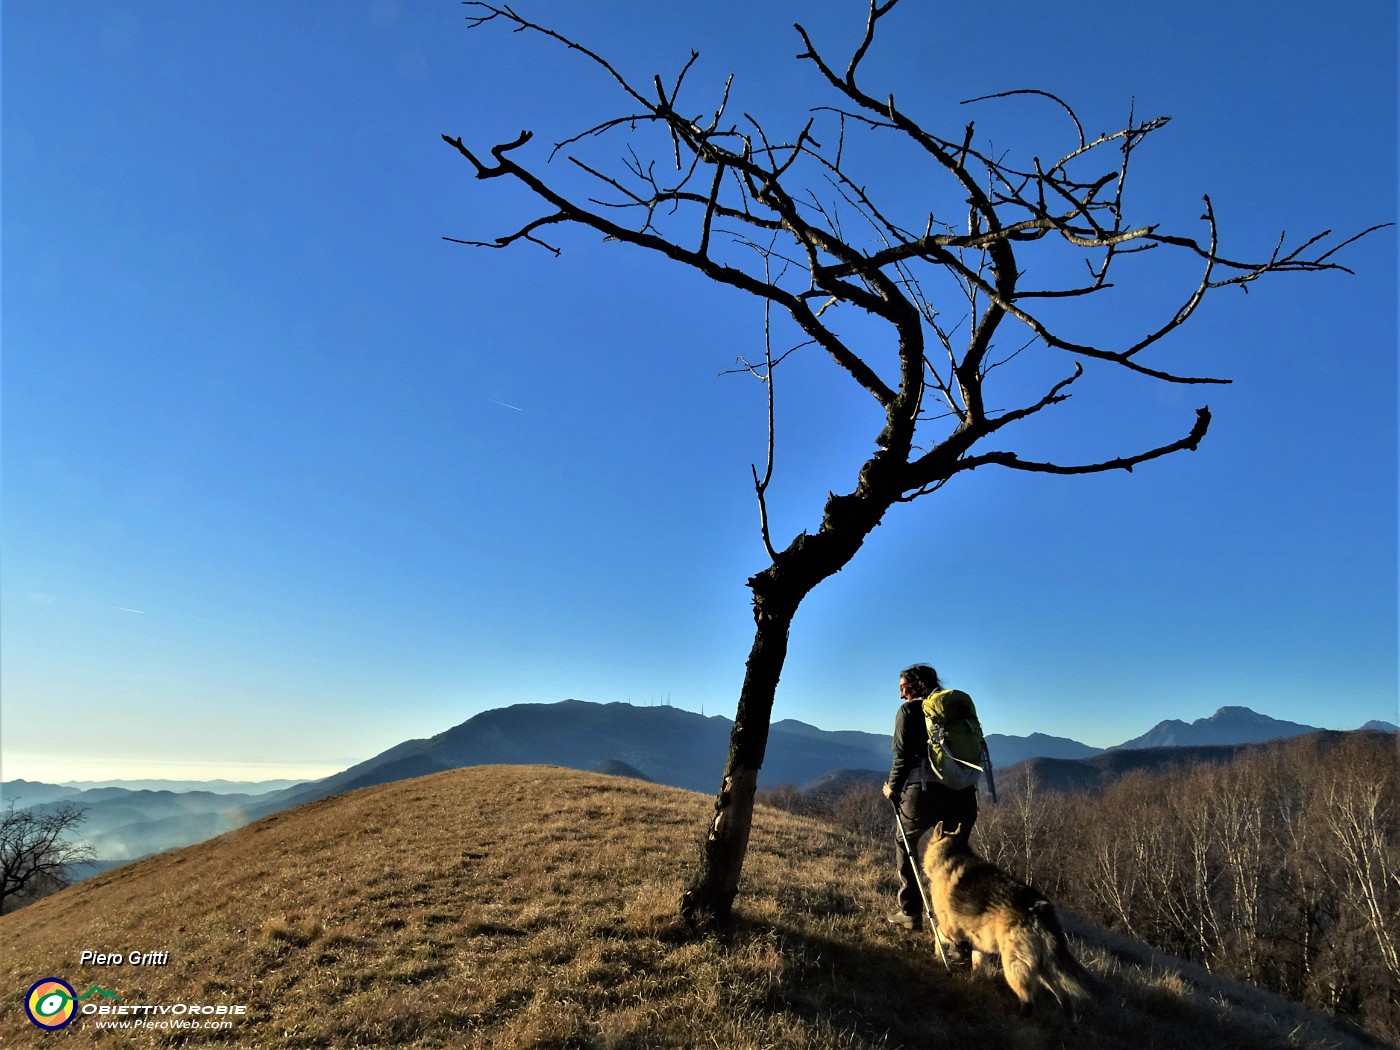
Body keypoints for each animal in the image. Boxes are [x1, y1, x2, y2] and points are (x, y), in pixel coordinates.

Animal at [924, 823, 1097, 1019]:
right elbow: (977, 962)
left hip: (1014, 965)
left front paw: (938, 956)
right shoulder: (980, 942)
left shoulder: (950, 929)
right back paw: (1070, 1020)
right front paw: (973, 980)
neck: (951, 854)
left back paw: (1018, 1018)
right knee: (1063, 995)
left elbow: (938, 936)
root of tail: (1039, 912)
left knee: (1028, 1001)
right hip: (1043, 966)